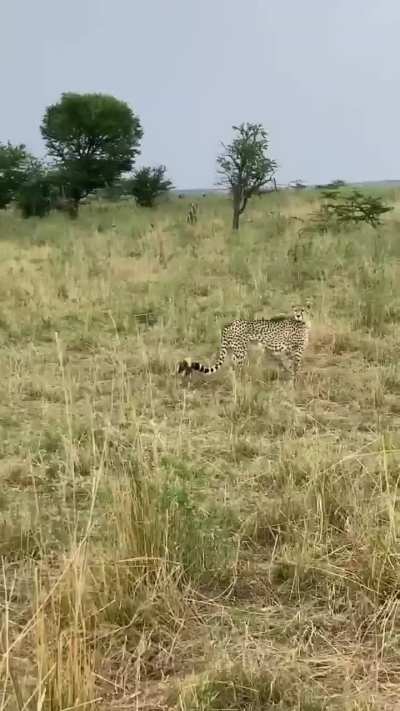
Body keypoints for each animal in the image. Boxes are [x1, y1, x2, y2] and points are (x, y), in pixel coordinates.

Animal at [177, 302, 312, 380]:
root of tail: (229, 324)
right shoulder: (295, 350)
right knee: (237, 369)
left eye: (303, 310)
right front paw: (295, 382)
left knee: (231, 367)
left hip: (234, 351)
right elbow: (295, 367)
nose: (298, 315)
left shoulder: (289, 351)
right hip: (241, 352)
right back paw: (241, 385)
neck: (303, 322)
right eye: (296, 310)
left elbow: (291, 366)